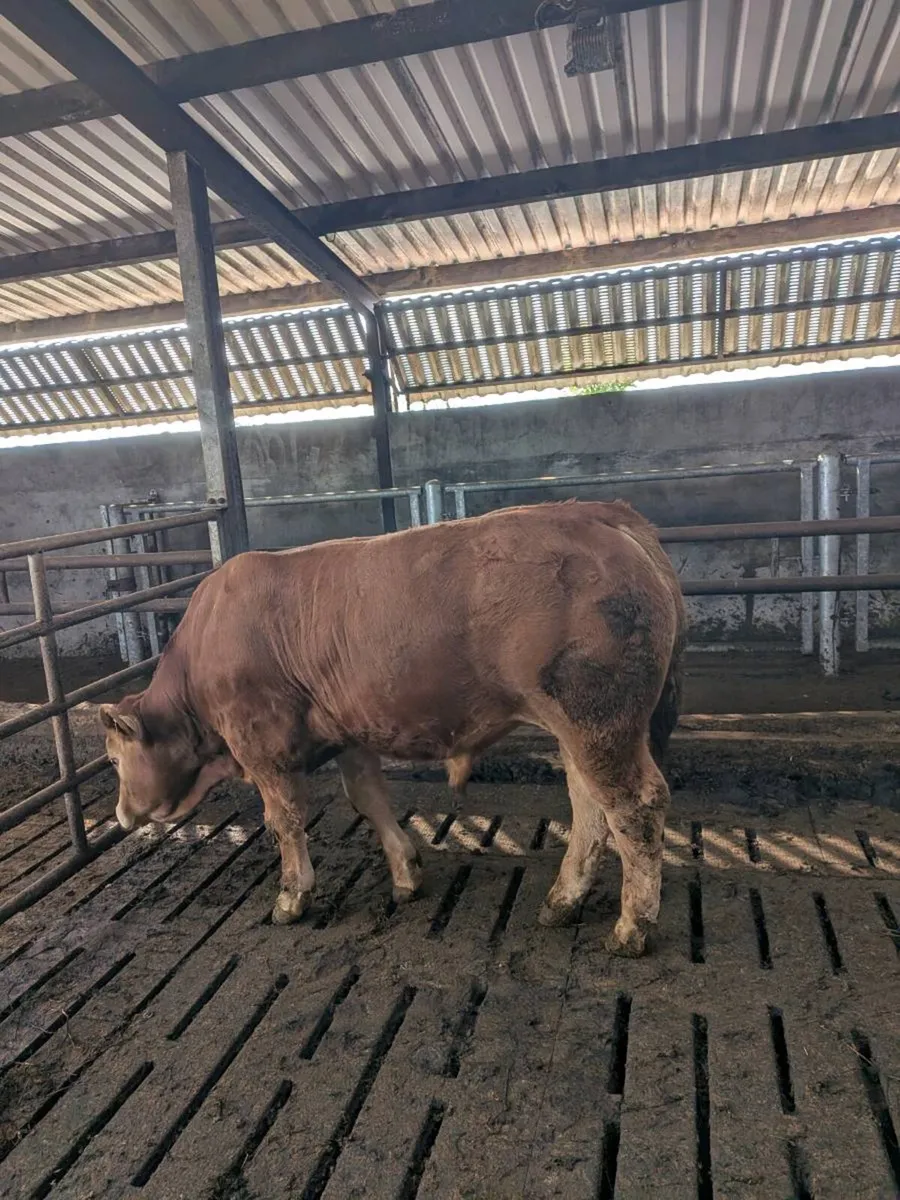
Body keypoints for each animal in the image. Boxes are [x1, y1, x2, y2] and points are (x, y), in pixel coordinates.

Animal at [100, 500, 685, 957]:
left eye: (112, 757)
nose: (121, 814)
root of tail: (598, 514)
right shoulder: (349, 733)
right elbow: (369, 799)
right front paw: (406, 874)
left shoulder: (263, 747)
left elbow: (284, 822)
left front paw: (291, 897)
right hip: (581, 729)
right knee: (590, 807)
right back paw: (562, 901)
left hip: (598, 721)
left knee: (633, 807)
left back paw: (632, 926)